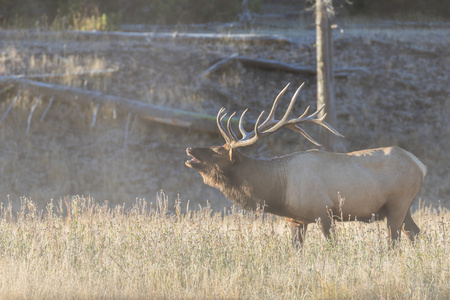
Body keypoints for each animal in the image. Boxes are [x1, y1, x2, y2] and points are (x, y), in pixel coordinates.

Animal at [185, 82, 428, 246]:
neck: (277, 190)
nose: (189, 149)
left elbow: (332, 246)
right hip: (401, 207)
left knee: (394, 241)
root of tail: (421, 165)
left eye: (217, 151)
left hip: (398, 202)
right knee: (417, 234)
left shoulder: (324, 211)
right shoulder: (295, 219)